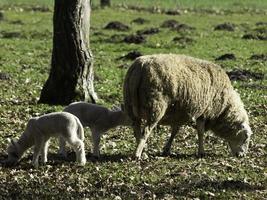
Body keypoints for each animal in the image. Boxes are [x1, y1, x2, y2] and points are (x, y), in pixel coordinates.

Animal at [123, 53, 253, 159]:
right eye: (246, 137)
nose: (242, 156)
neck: (224, 108)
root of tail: (140, 67)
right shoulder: (204, 112)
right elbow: (200, 132)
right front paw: (201, 152)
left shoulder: (180, 111)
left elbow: (175, 131)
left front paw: (166, 149)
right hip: (155, 107)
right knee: (145, 131)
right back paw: (137, 154)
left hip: (130, 105)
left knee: (136, 130)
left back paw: (142, 151)